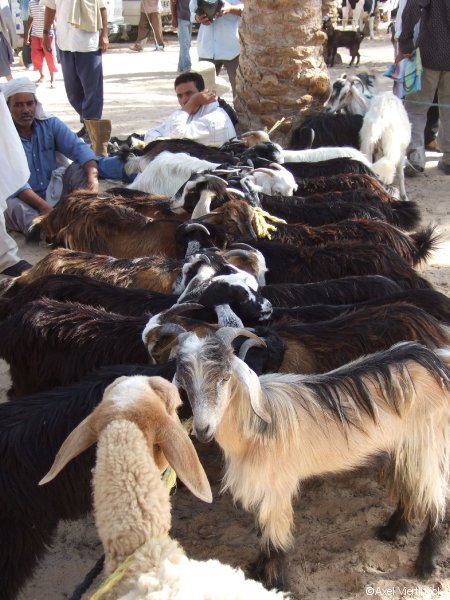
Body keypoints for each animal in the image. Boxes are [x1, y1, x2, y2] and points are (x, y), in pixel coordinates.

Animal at [173, 332, 450, 592]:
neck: (257, 424)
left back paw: (425, 565)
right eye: (186, 384)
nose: (203, 429)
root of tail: (434, 361)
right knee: (412, 485)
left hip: (428, 441)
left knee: (435, 495)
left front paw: (275, 582)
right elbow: (263, 529)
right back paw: (391, 532)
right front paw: (258, 570)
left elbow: (275, 534)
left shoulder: (277, 485)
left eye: (225, 377)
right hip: (406, 444)